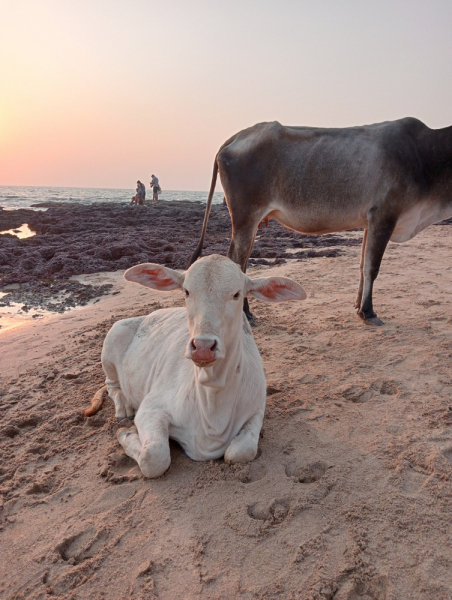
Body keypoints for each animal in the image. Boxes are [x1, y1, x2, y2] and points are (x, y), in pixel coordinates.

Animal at [82, 253, 306, 478]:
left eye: (236, 294)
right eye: (187, 291)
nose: (203, 347)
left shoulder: (257, 410)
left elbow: (239, 452)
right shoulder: (151, 408)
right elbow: (154, 457)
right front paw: (126, 432)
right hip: (113, 338)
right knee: (112, 386)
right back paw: (124, 411)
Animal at [190, 116, 452, 324]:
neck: (425, 155)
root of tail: (238, 136)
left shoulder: (370, 222)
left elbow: (362, 266)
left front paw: (358, 307)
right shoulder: (384, 216)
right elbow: (372, 268)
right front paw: (368, 312)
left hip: (252, 221)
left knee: (241, 262)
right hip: (246, 216)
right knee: (237, 261)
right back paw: (245, 314)